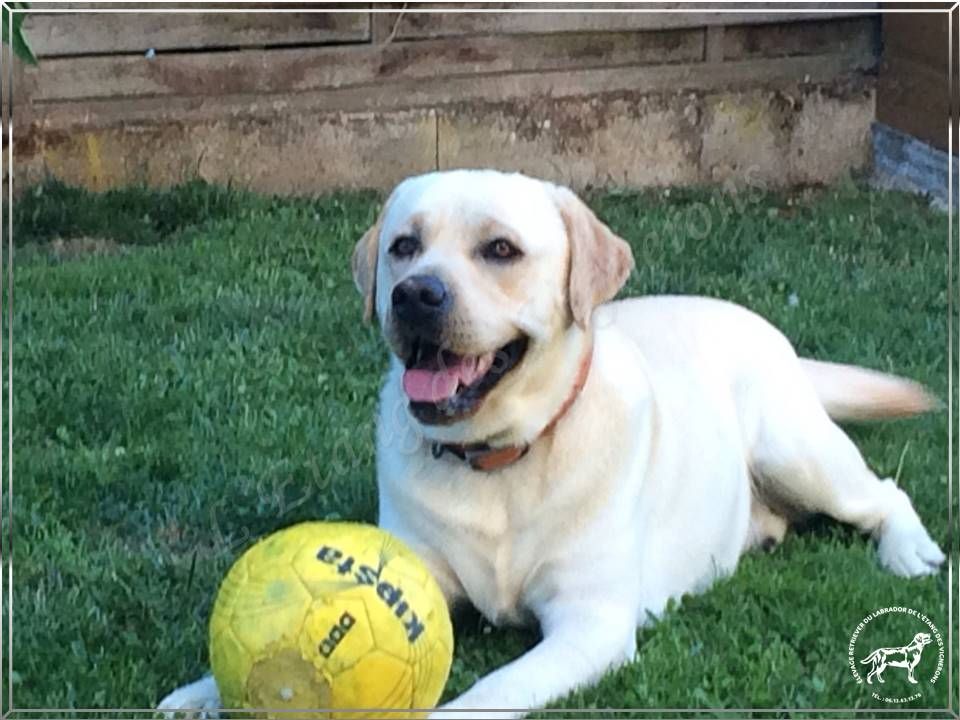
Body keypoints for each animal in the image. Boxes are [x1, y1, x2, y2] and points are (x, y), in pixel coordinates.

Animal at [159, 170, 944, 720]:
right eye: (404, 247)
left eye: (500, 250)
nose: (415, 295)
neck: (499, 458)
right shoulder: (423, 570)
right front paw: (202, 691)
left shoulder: (590, 623)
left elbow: (490, 692)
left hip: (796, 449)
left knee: (884, 494)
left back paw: (910, 553)